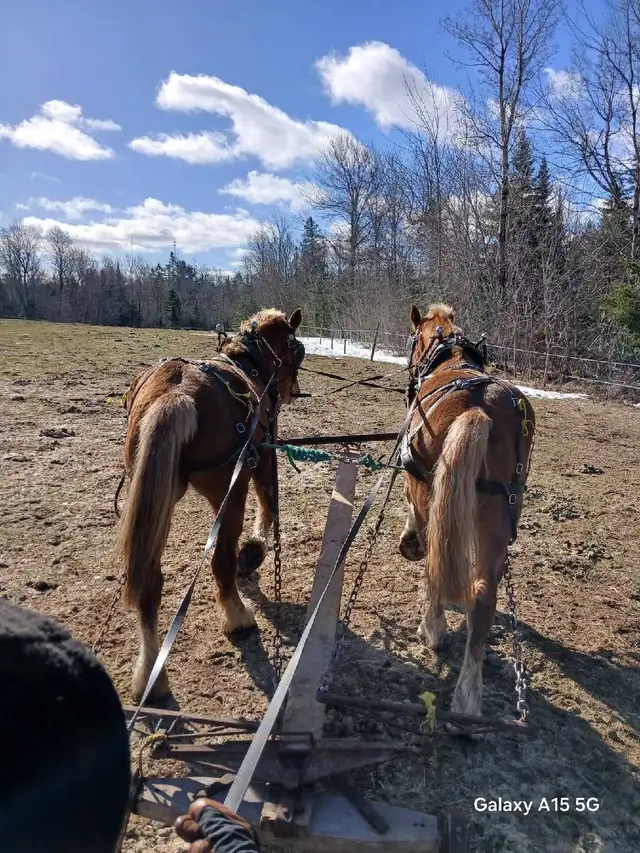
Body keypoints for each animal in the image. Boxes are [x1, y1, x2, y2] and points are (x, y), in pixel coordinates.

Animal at [116, 308, 304, 702]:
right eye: (295, 347)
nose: (291, 391)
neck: (250, 366)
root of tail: (176, 393)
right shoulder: (265, 455)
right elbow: (269, 501)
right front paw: (255, 549)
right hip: (228, 490)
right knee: (220, 560)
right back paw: (238, 616)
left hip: (159, 500)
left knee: (150, 582)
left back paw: (151, 672)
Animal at [398, 303, 535, 718]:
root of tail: (482, 410)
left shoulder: (417, 487)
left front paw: (408, 540)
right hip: (500, 514)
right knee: (483, 595)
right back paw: (469, 695)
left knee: (435, 563)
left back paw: (432, 628)